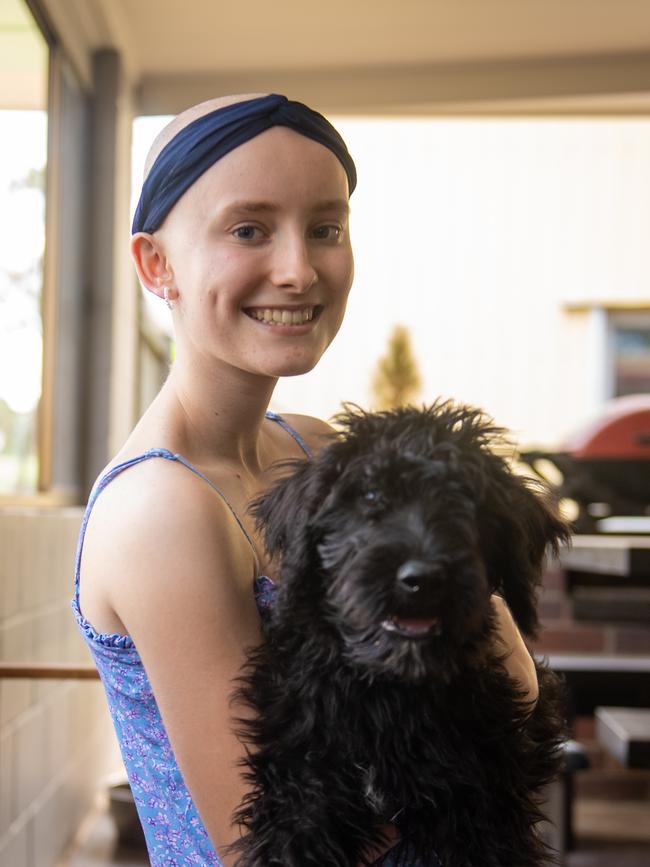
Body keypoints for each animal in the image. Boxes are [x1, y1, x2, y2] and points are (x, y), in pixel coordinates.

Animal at [229, 404, 568, 867]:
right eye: (370, 497)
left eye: (470, 501)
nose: (422, 579)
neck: (388, 688)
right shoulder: (300, 786)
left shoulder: (485, 798)